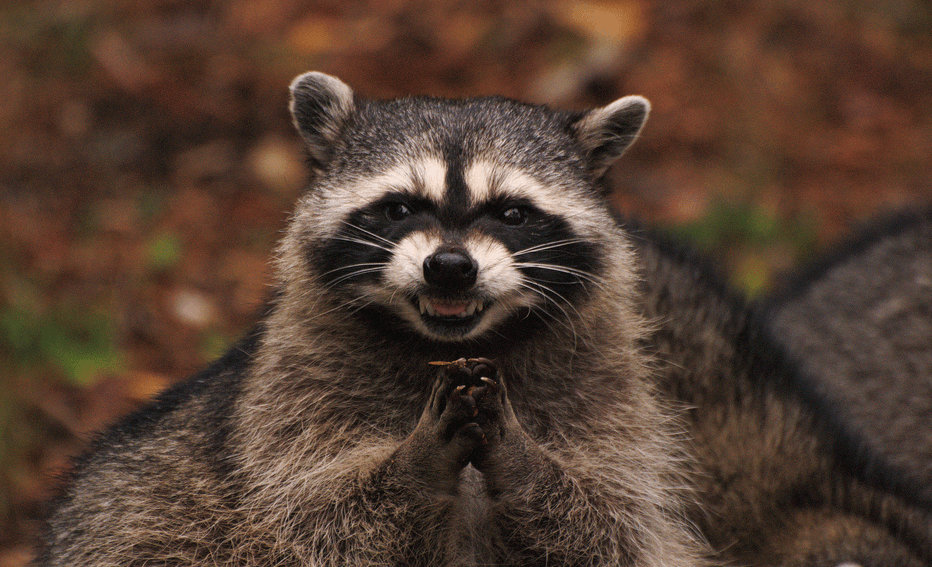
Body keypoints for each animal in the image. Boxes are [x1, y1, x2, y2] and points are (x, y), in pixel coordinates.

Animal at [37, 73, 705, 566]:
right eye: (399, 207)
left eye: (512, 213)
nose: (450, 268)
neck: (446, 344)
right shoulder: (288, 401)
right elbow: (319, 521)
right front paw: (413, 466)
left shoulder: (601, 386)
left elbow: (609, 526)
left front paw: (523, 460)